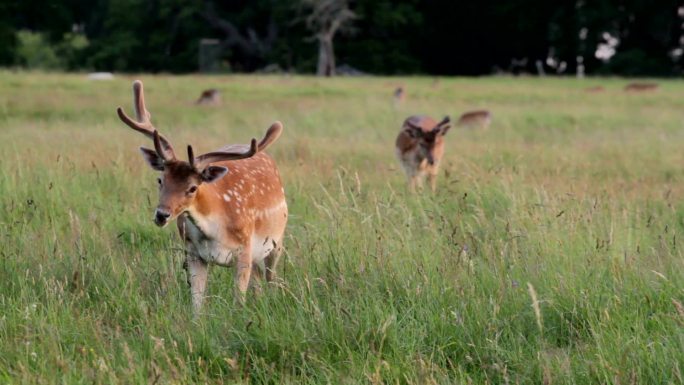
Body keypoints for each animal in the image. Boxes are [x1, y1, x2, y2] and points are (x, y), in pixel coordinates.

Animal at [116, 80, 288, 312]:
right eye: (160, 180)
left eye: (192, 188)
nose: (161, 215)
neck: (215, 230)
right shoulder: (192, 253)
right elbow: (196, 305)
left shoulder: (245, 250)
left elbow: (238, 301)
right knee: (259, 282)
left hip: (276, 241)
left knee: (271, 279)